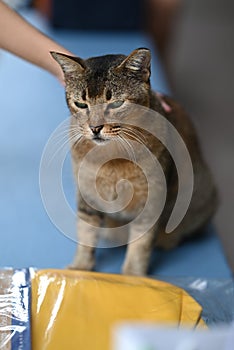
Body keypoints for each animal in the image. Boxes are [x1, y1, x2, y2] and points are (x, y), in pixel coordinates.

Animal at [50, 47, 218, 274]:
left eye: (116, 103)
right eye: (81, 104)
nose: (95, 128)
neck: (111, 160)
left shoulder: (151, 200)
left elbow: (140, 245)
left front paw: (132, 276)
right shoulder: (86, 193)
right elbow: (85, 232)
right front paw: (80, 267)